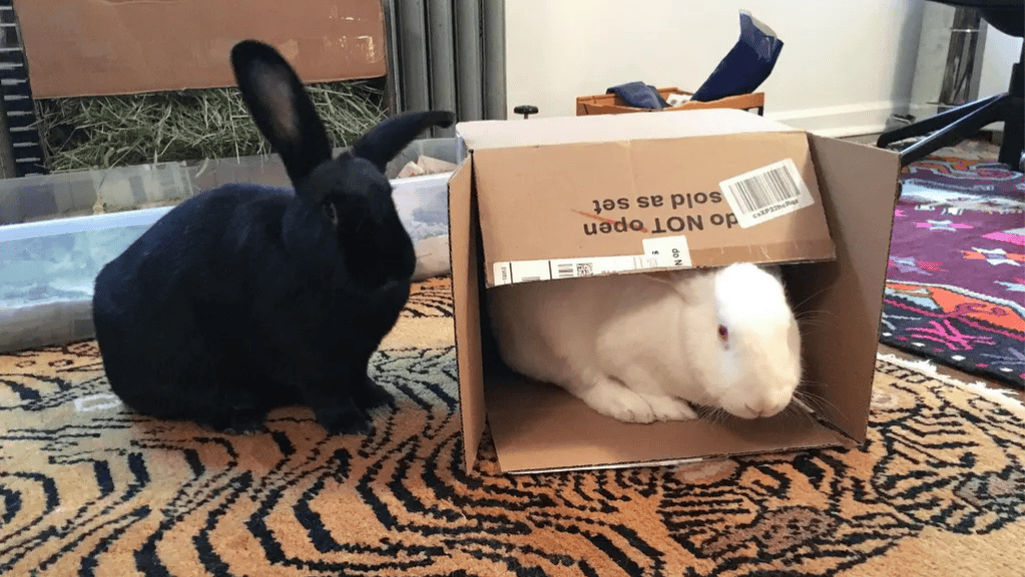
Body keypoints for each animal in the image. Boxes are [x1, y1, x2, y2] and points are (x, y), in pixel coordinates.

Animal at [91, 39, 455, 435]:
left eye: (388, 195)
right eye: (329, 210)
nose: (391, 267)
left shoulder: (357, 357)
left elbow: (359, 378)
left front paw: (379, 399)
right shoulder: (310, 360)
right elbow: (327, 393)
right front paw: (350, 424)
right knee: (197, 408)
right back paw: (242, 421)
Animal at [486, 262, 802, 423]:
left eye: (788, 327)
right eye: (722, 331)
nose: (764, 404)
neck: (679, 332)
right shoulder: (622, 355)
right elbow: (646, 386)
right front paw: (671, 411)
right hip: (556, 343)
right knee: (582, 381)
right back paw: (629, 409)